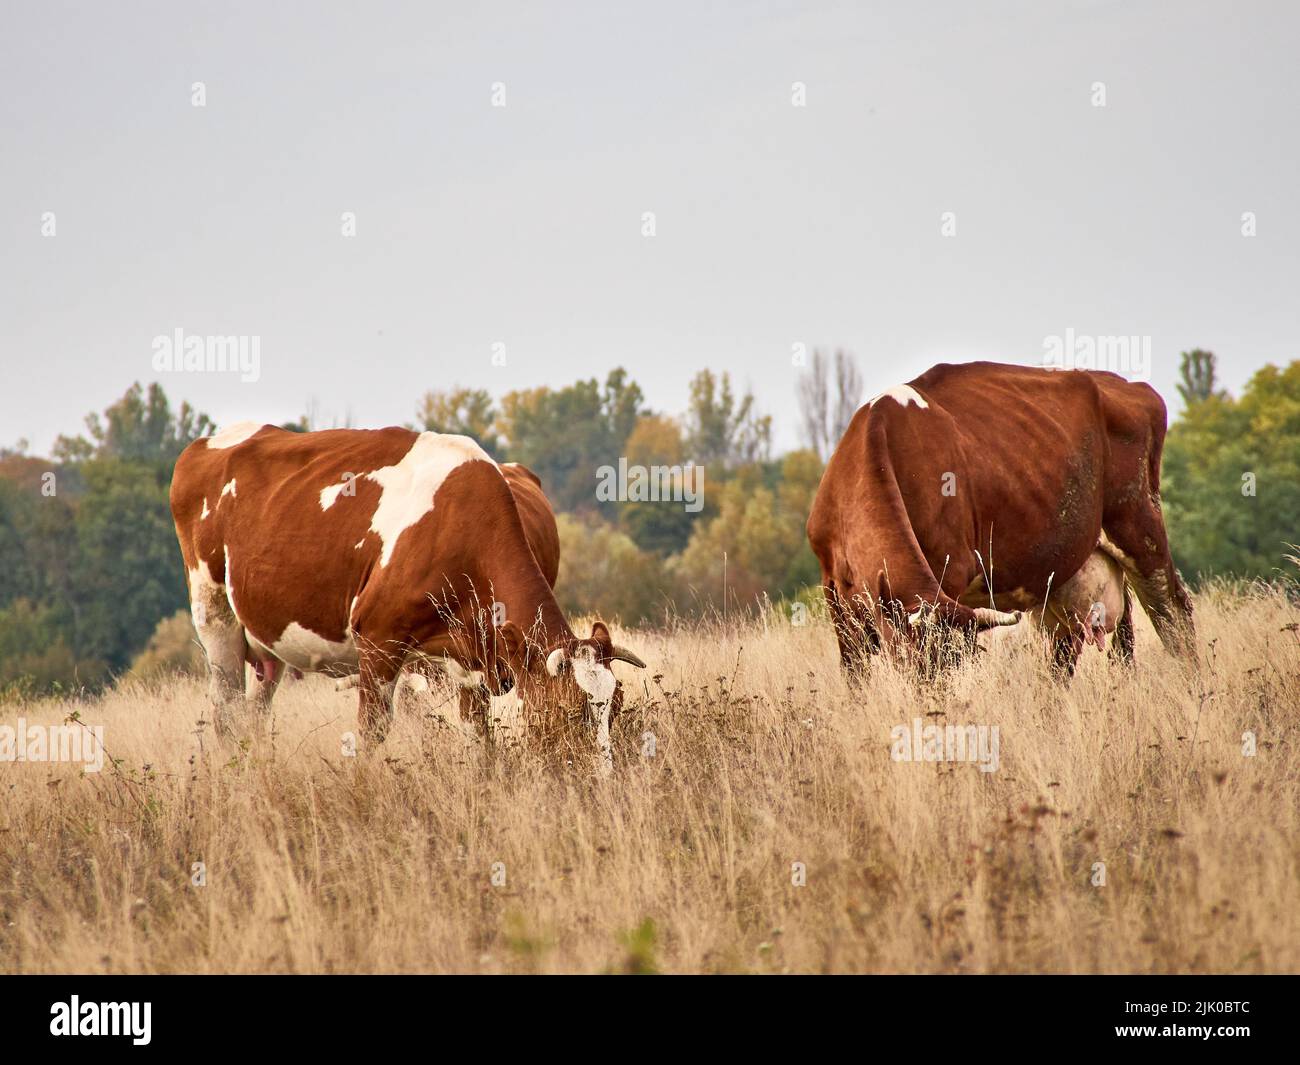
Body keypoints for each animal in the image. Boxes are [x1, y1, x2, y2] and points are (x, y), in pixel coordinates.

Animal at [170, 422, 645, 765]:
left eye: (616, 707)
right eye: (570, 711)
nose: (599, 777)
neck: (460, 527)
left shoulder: (473, 656)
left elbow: (479, 737)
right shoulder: (378, 641)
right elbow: (372, 732)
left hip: (268, 645)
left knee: (254, 713)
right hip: (215, 619)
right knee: (226, 715)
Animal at [806, 362, 1194, 675]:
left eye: (951, 663)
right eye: (911, 659)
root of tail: (1128, 385)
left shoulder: (952, 572)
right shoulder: (834, 593)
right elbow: (854, 673)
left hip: (1140, 529)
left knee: (1174, 616)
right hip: (1067, 575)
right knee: (1066, 654)